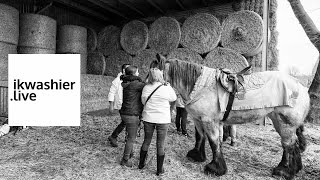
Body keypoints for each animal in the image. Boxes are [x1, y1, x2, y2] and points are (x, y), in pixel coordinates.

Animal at [152, 54, 310, 179]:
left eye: (151, 72)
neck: (199, 85)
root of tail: (301, 87)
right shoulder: (198, 120)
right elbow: (200, 137)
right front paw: (197, 156)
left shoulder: (210, 121)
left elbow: (214, 142)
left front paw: (215, 168)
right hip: (278, 121)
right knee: (289, 145)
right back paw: (287, 168)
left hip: (286, 123)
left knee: (290, 145)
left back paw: (286, 172)